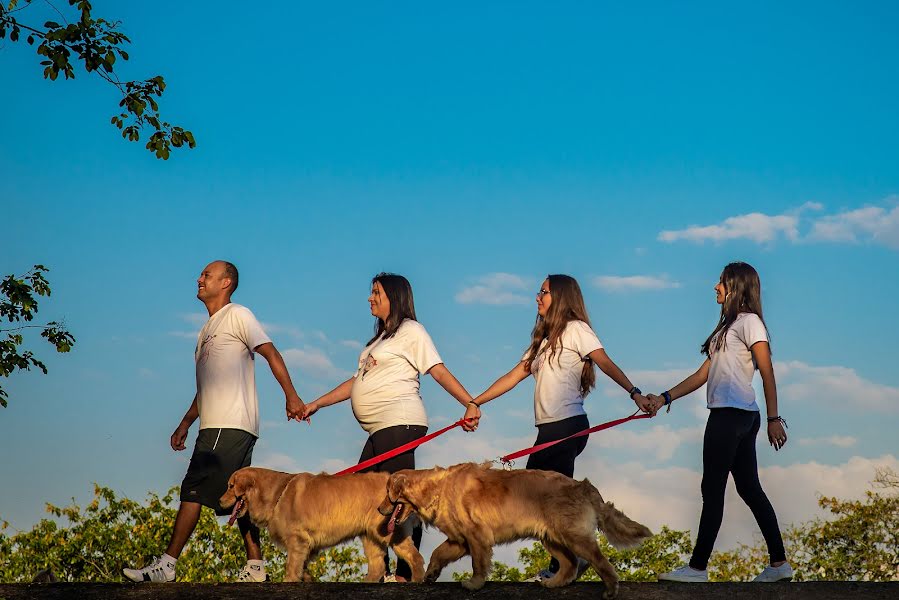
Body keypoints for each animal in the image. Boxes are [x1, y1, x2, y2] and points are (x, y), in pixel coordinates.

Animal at [221, 466, 426, 584]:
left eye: (230, 486)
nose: (219, 501)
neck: (278, 492)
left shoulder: (297, 539)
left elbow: (292, 565)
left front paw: (289, 580)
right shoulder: (306, 545)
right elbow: (302, 566)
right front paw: (307, 578)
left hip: (391, 531)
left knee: (415, 557)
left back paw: (417, 580)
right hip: (371, 535)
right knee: (377, 565)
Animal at [376, 464, 652, 596]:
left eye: (388, 494)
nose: (379, 509)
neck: (436, 489)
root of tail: (584, 486)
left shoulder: (476, 536)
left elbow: (478, 563)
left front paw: (475, 584)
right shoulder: (460, 539)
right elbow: (437, 553)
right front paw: (431, 574)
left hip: (572, 535)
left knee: (598, 560)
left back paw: (611, 588)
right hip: (552, 538)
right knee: (570, 563)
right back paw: (554, 583)